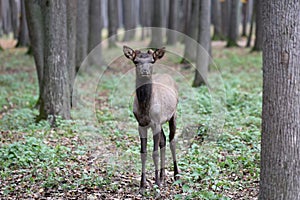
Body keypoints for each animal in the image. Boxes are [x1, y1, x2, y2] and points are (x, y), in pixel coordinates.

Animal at [123, 45, 179, 192]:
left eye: (152, 61)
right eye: (136, 61)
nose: (144, 71)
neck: (145, 108)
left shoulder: (155, 124)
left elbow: (155, 153)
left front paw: (157, 184)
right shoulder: (141, 124)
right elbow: (143, 152)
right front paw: (142, 186)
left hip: (173, 114)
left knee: (172, 140)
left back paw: (176, 175)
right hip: (160, 122)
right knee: (163, 140)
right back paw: (163, 175)